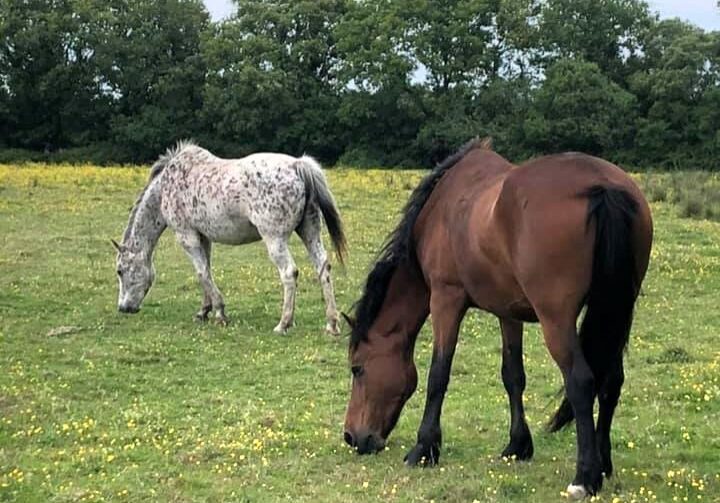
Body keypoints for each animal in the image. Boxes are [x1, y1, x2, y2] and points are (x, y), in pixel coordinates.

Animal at [114, 142, 348, 334]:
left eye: (120, 271)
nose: (123, 308)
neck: (166, 187)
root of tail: (298, 166)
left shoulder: (186, 236)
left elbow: (201, 272)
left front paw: (219, 313)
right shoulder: (204, 237)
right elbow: (206, 271)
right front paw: (204, 311)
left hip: (275, 239)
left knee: (289, 273)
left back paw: (283, 324)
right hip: (310, 232)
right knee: (323, 268)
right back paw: (331, 324)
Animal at [344, 139, 652, 500]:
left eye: (357, 368)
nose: (351, 437)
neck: (442, 207)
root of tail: (602, 185)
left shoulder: (446, 299)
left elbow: (438, 375)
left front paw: (424, 448)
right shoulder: (509, 313)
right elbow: (513, 376)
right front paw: (518, 446)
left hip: (557, 321)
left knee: (581, 382)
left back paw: (585, 476)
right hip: (615, 312)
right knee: (611, 381)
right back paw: (603, 464)